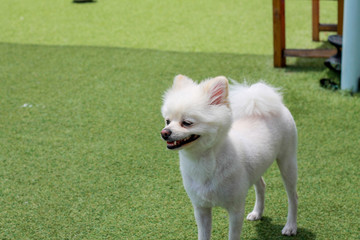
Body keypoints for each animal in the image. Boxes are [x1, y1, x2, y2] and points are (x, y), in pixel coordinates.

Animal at [160, 74, 298, 239]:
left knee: (293, 196)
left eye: (187, 123)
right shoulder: (201, 209)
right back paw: (257, 212)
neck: (202, 160)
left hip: (287, 162)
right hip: (256, 168)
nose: (164, 132)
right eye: (167, 121)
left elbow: (233, 235)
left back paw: (290, 226)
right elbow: (203, 235)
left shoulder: (236, 210)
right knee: (261, 185)